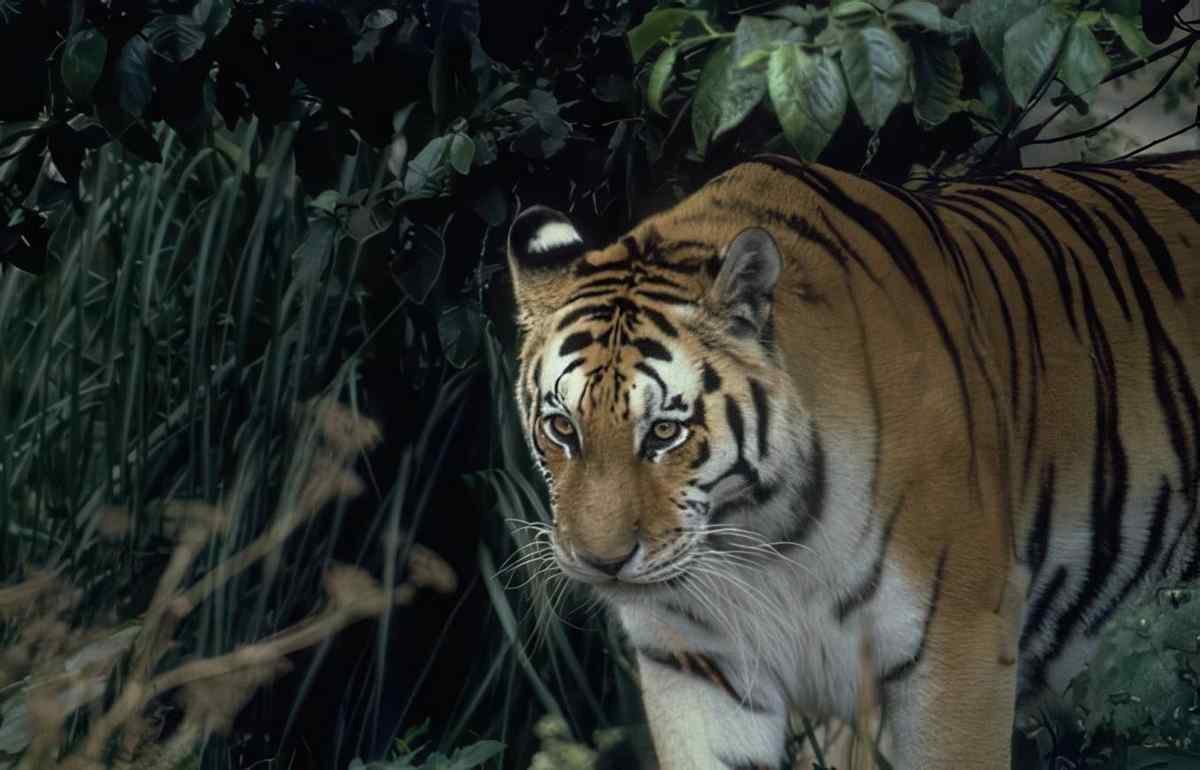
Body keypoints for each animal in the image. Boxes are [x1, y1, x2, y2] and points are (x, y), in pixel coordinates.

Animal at [505, 150, 1200, 770]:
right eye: (562, 427)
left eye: (665, 433)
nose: (602, 563)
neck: (761, 539)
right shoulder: (696, 663)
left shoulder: (961, 645)